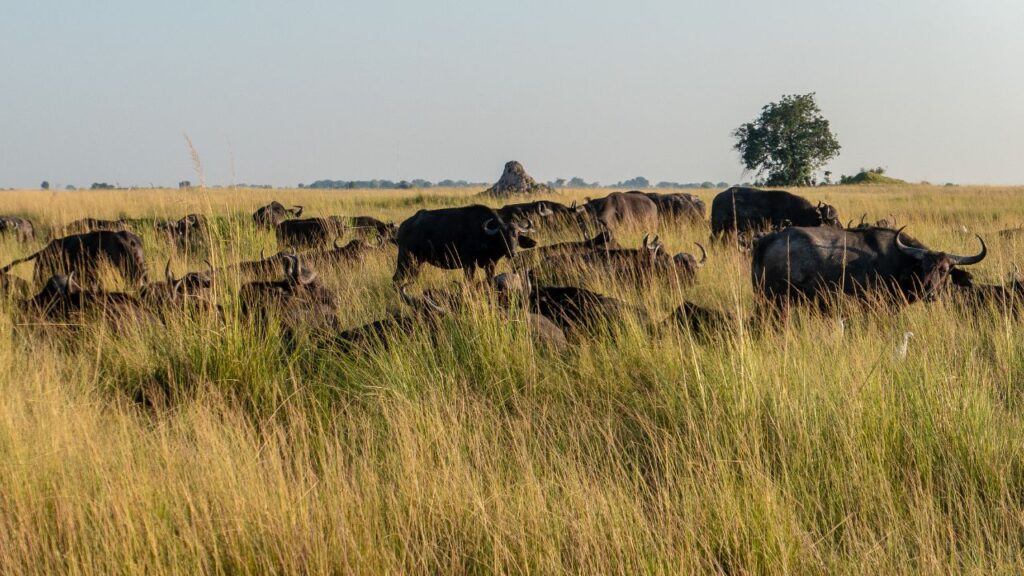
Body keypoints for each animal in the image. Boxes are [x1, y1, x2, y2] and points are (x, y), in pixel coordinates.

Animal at [393, 205, 537, 284]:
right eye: (501, 236)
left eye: (516, 235)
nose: (512, 253)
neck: (482, 234)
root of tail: (403, 227)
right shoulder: (469, 264)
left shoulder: (490, 264)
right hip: (405, 260)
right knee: (396, 279)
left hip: (418, 262)